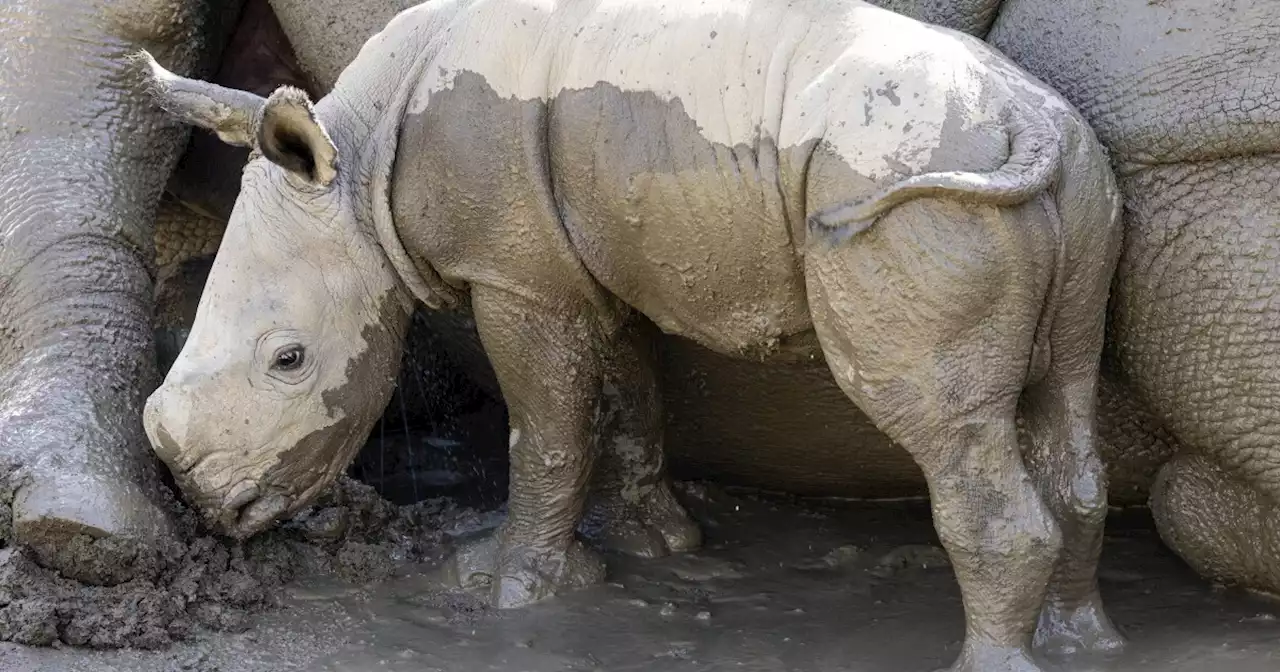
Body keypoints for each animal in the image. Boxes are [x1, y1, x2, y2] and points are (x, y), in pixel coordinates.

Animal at [137, 1, 1121, 670]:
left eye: (289, 360)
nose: (206, 503)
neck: (360, 156)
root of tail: (1026, 122)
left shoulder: (517, 276)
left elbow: (545, 431)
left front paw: (508, 586)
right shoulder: (592, 260)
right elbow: (629, 395)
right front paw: (657, 544)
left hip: (917, 197)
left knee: (941, 422)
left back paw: (989, 663)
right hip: (1078, 184)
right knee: (1066, 399)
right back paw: (1085, 641)